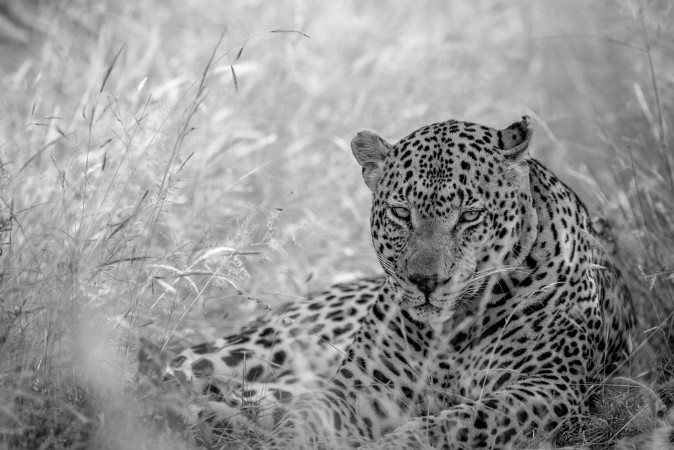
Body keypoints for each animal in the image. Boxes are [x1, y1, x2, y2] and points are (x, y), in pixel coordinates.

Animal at [163, 115, 635, 449]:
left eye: (470, 216)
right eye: (401, 213)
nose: (426, 281)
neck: (452, 332)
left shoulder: (548, 386)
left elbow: (463, 423)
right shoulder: (362, 385)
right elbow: (310, 416)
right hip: (264, 348)